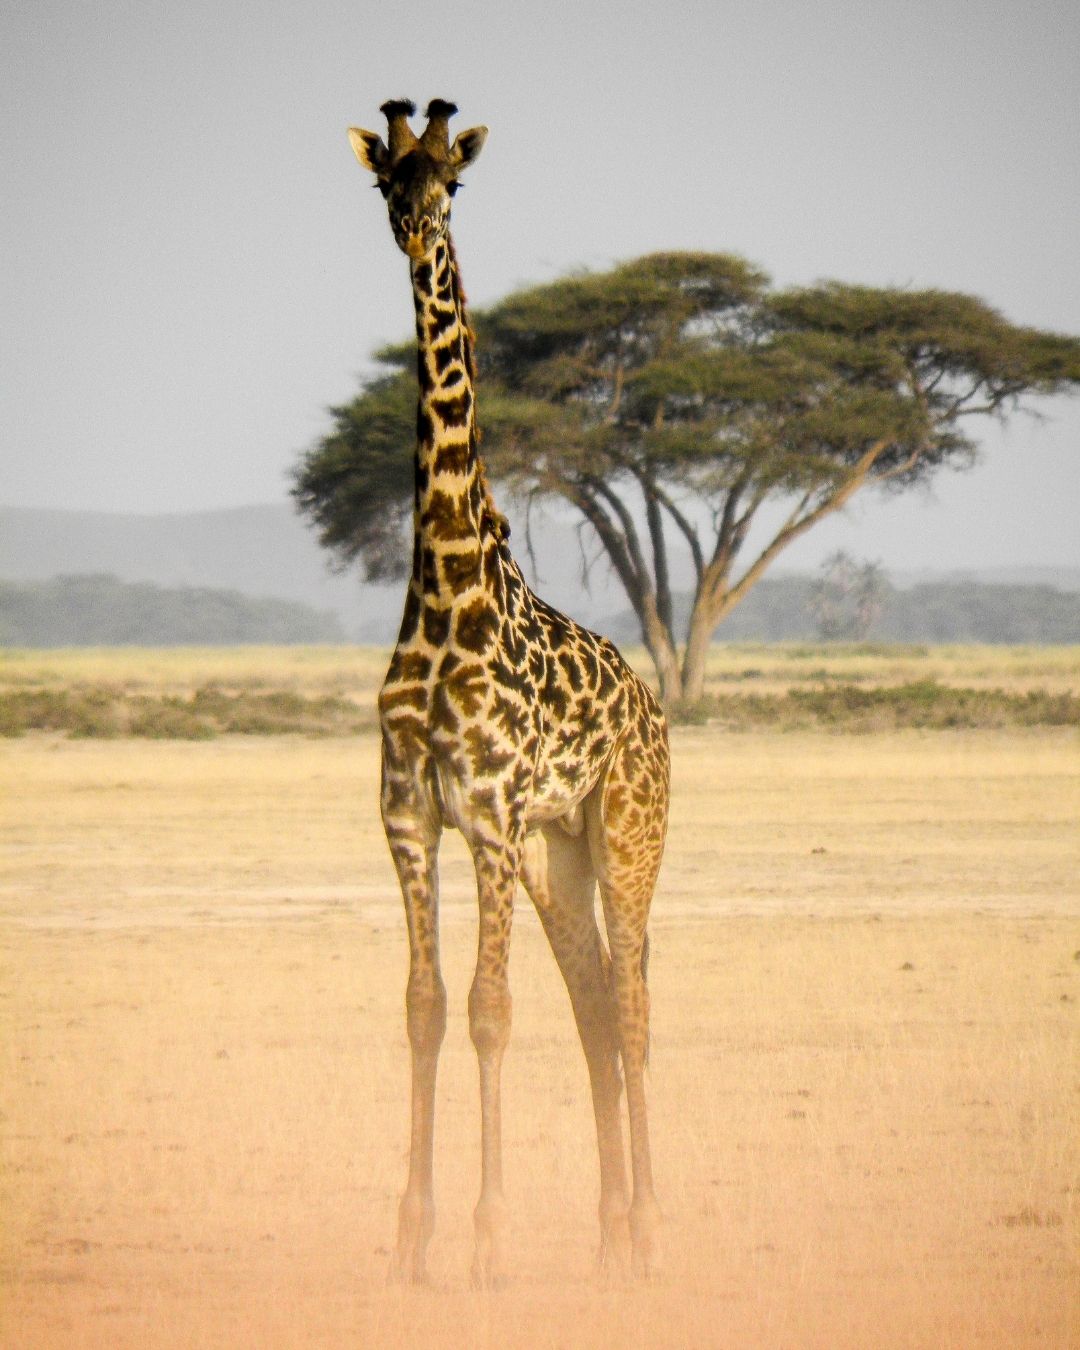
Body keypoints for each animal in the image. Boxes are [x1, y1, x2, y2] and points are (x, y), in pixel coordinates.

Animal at [347, 99, 670, 1286]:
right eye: (387, 178)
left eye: (454, 180)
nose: (418, 230)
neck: (446, 583)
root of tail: (652, 704)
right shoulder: (409, 814)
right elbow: (426, 1008)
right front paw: (411, 1236)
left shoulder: (484, 813)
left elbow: (490, 1008)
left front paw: (485, 1239)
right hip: (554, 849)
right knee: (591, 999)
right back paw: (609, 1230)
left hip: (625, 834)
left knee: (632, 1000)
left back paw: (653, 1228)